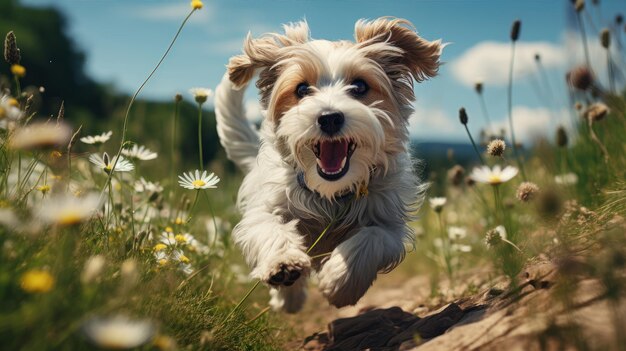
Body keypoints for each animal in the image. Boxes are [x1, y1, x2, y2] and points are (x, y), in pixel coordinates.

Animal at [214, 17, 438, 314]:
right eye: (301, 89)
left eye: (360, 87)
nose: (329, 117)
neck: (331, 193)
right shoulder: (265, 208)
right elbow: (272, 228)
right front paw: (284, 262)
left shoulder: (389, 223)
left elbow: (371, 238)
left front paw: (340, 281)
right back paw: (289, 297)